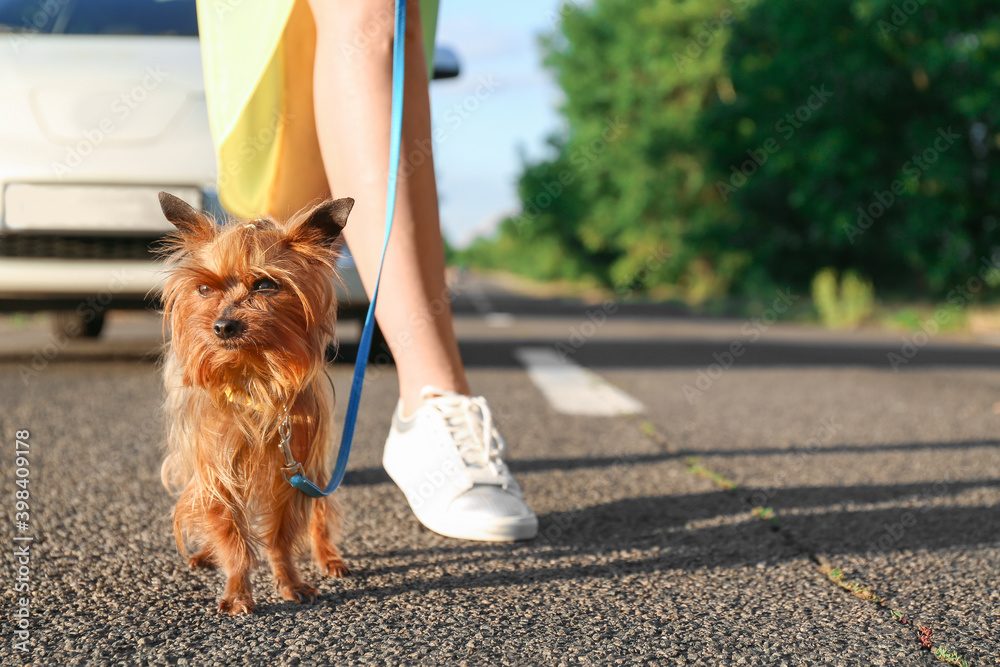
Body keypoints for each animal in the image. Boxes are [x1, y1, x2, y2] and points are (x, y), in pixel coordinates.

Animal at [158, 193, 354, 616]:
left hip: (316, 467)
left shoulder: (292, 467)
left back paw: (328, 556)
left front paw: (290, 580)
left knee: (320, 514)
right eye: (204, 288)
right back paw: (206, 554)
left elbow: (281, 534)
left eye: (265, 285)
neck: (254, 378)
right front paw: (236, 588)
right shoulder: (216, 469)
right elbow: (228, 532)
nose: (222, 326)